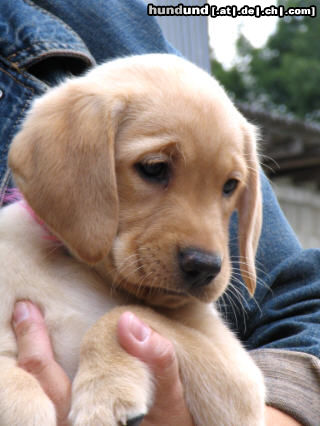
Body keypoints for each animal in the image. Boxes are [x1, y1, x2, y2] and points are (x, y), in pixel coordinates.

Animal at [0, 54, 264, 426]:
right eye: (154, 168)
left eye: (230, 185)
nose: (205, 267)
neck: (79, 268)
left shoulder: (241, 382)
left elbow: (126, 313)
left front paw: (105, 392)